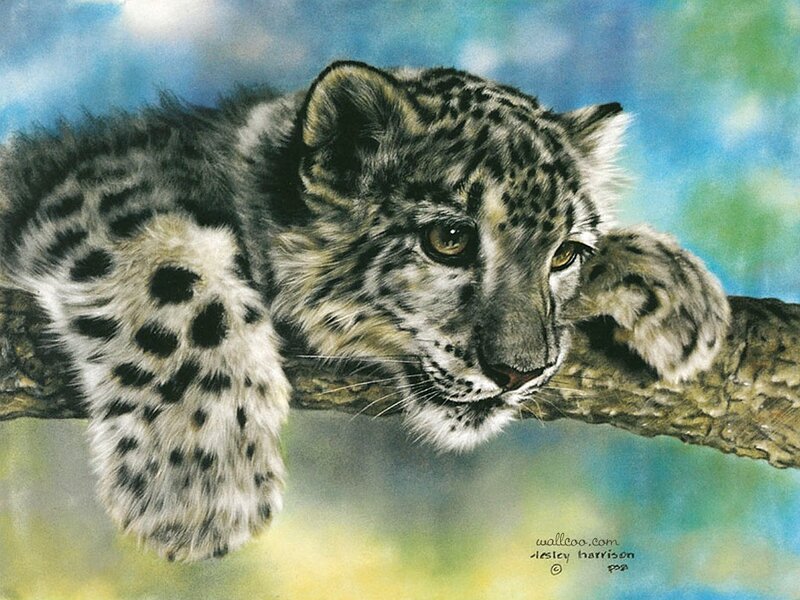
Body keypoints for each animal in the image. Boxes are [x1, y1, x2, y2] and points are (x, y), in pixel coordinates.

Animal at [0, 60, 730, 561]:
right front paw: (200, 490)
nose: (521, 370)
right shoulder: (107, 194)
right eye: (449, 239)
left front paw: (679, 294)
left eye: (566, 254)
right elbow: (176, 283)